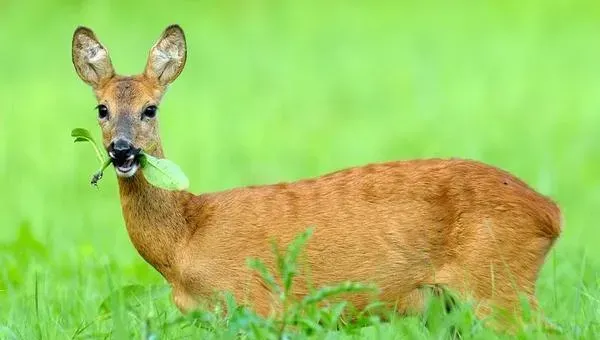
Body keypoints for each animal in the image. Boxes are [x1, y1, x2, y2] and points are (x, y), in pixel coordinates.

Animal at [71, 24, 564, 330]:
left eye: (150, 109)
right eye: (102, 109)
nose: (121, 150)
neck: (185, 241)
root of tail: (550, 213)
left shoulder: (257, 305)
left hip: (496, 283)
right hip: (455, 304)